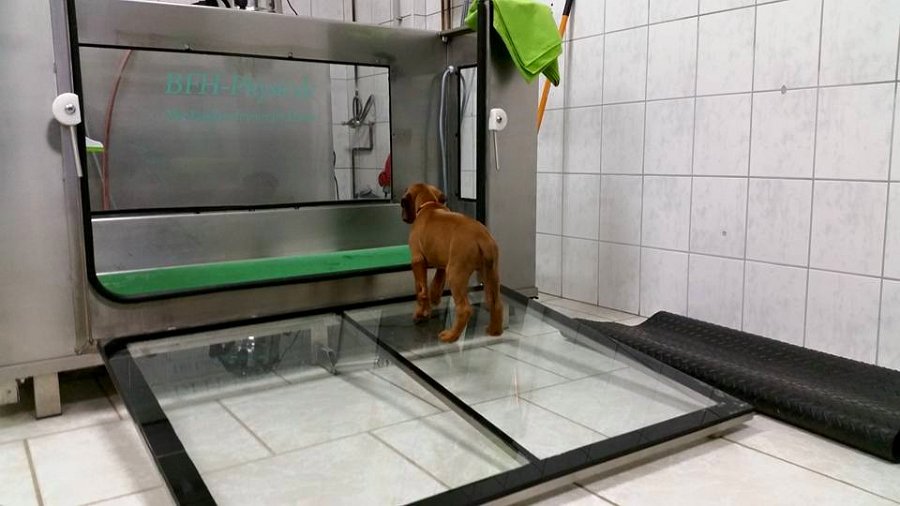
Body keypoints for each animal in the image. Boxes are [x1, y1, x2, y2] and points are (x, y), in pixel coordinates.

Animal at [400, 183, 503, 343]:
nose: (403, 217)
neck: (429, 206)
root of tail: (481, 238)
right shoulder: (443, 264)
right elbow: (436, 283)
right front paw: (434, 298)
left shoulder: (417, 260)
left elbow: (421, 290)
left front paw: (421, 313)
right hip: (490, 272)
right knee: (496, 303)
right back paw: (494, 331)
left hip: (455, 274)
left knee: (465, 309)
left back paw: (451, 335)